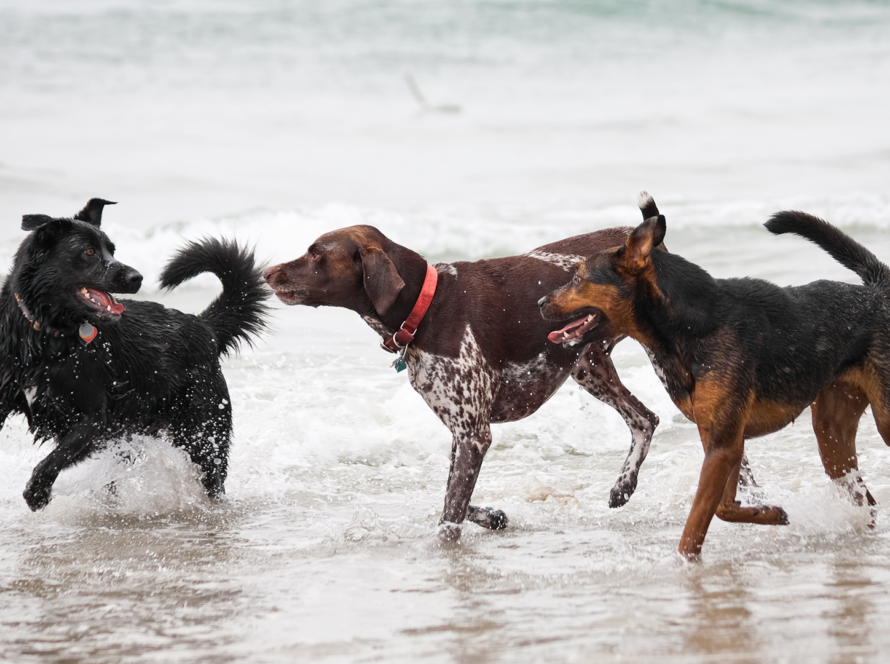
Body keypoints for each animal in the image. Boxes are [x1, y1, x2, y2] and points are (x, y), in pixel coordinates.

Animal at [0, 197, 268, 508]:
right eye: (89, 252)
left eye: (112, 250)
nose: (137, 277)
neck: (46, 335)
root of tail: (204, 326)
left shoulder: (93, 420)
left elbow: (54, 459)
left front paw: (37, 492)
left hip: (203, 433)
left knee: (212, 475)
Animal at [260, 226, 664, 536]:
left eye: (316, 253)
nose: (266, 272)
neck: (425, 307)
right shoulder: (461, 432)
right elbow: (453, 497)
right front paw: (492, 516)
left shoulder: (474, 434)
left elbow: (450, 514)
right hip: (587, 365)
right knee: (645, 419)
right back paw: (623, 486)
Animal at [536, 193, 884, 560]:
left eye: (577, 278)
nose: (540, 302)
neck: (689, 325)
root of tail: (878, 290)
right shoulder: (722, 441)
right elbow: (724, 505)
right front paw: (770, 513)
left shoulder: (723, 446)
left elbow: (700, 518)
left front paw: (687, 562)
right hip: (831, 433)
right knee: (865, 498)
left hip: (881, 418)